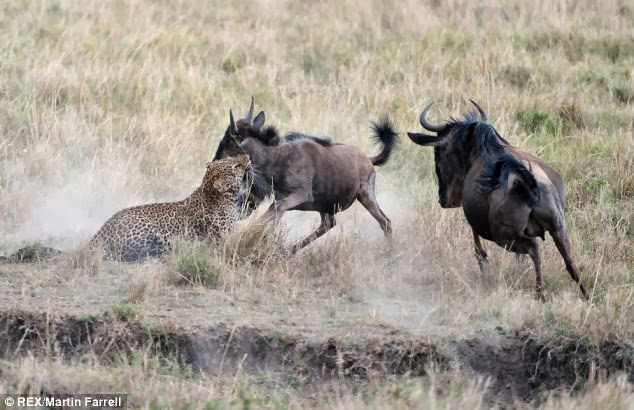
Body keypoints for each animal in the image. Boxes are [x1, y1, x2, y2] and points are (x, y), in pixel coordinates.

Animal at [87, 154, 251, 262]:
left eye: (231, 158)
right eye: (234, 167)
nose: (247, 156)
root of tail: (99, 233)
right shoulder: (227, 233)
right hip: (143, 231)